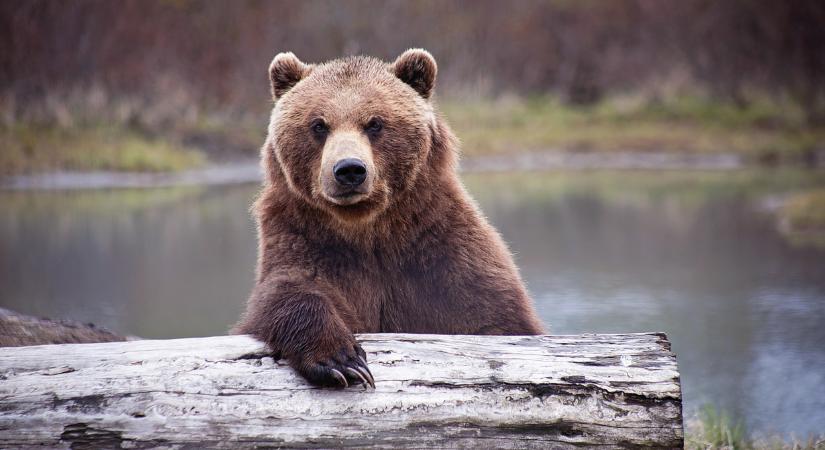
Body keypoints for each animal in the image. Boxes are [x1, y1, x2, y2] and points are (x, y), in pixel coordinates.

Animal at [232, 48, 544, 386]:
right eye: (318, 125)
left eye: (375, 123)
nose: (349, 170)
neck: (369, 229)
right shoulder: (304, 240)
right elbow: (288, 291)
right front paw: (341, 361)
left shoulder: (441, 251)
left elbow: (495, 315)